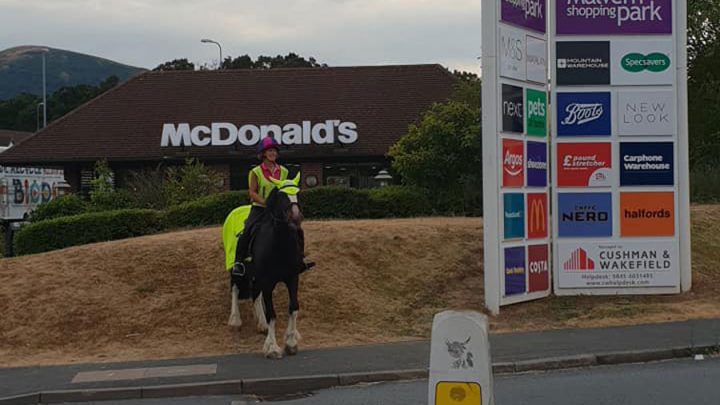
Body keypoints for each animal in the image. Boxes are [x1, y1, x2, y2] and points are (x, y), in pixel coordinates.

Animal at [229, 175, 306, 358]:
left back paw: (262, 324)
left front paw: (291, 342)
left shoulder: (292, 277)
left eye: (298, 193)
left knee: (255, 293)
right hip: (236, 268)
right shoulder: (268, 281)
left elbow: (293, 307)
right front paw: (272, 347)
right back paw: (235, 320)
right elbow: (272, 313)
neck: (279, 244)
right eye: (282, 195)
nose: (296, 217)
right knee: (234, 287)